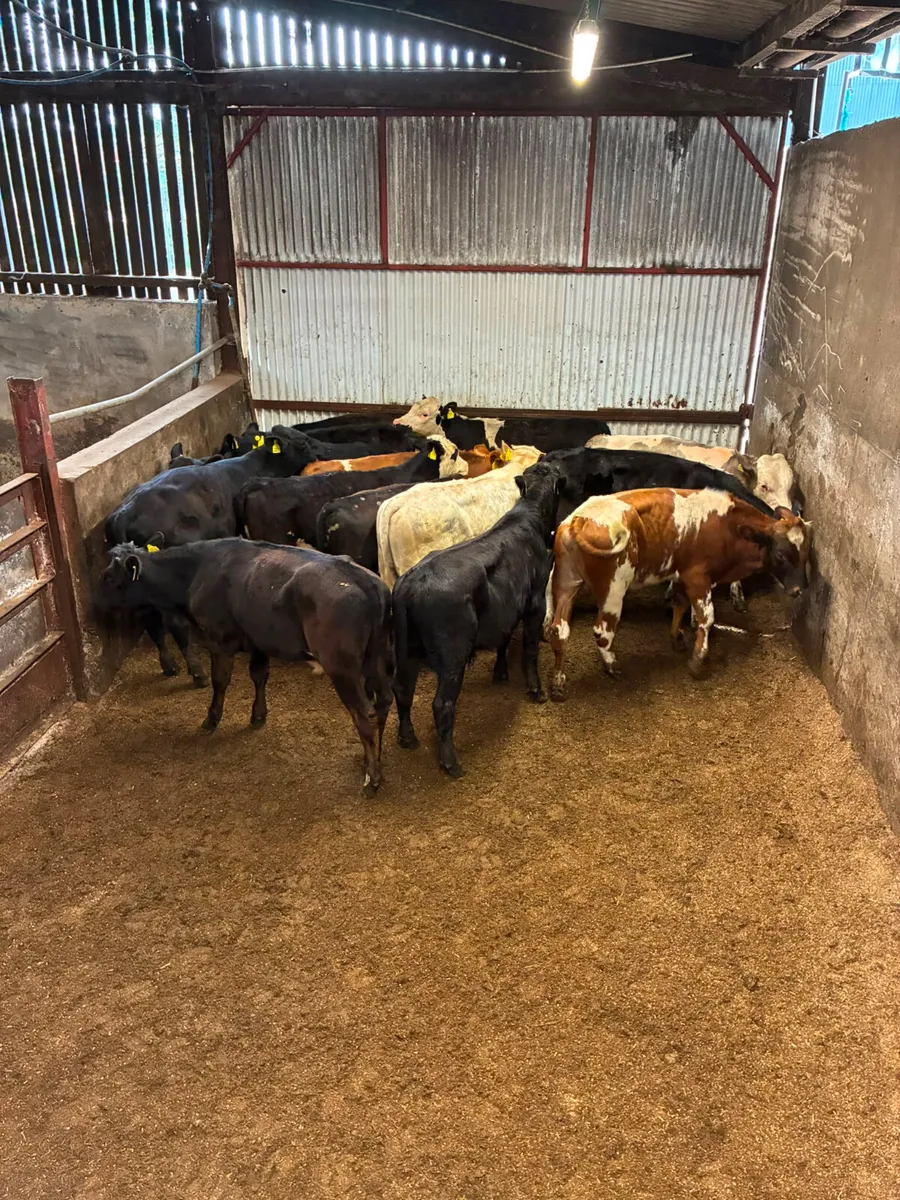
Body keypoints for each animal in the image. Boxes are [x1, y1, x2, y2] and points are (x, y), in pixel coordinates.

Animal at [96, 539, 394, 795]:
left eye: (109, 577)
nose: (94, 607)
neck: (195, 571)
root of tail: (364, 580)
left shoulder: (219, 639)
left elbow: (220, 680)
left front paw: (211, 719)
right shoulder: (258, 639)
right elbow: (259, 675)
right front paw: (258, 715)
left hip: (341, 666)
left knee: (364, 712)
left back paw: (372, 777)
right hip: (377, 657)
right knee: (383, 702)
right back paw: (373, 760)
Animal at [106, 432, 315, 683]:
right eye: (301, 444)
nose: (315, 455)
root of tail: (124, 513)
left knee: (151, 620)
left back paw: (169, 665)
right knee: (175, 624)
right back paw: (197, 671)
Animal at [392, 461, 562, 778]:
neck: (528, 514)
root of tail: (410, 581)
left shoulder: (506, 606)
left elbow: (504, 637)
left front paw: (501, 673)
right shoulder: (535, 600)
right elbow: (530, 648)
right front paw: (535, 690)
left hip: (405, 650)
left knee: (402, 688)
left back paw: (407, 738)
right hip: (452, 657)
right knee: (442, 705)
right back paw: (451, 762)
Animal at [546, 488, 810, 699]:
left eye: (806, 553)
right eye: (780, 554)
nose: (799, 590)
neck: (725, 525)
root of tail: (579, 519)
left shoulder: (681, 575)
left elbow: (679, 604)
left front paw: (677, 638)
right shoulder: (698, 577)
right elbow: (706, 618)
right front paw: (698, 661)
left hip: (565, 582)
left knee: (559, 630)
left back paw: (558, 682)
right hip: (614, 590)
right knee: (602, 631)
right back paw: (613, 666)